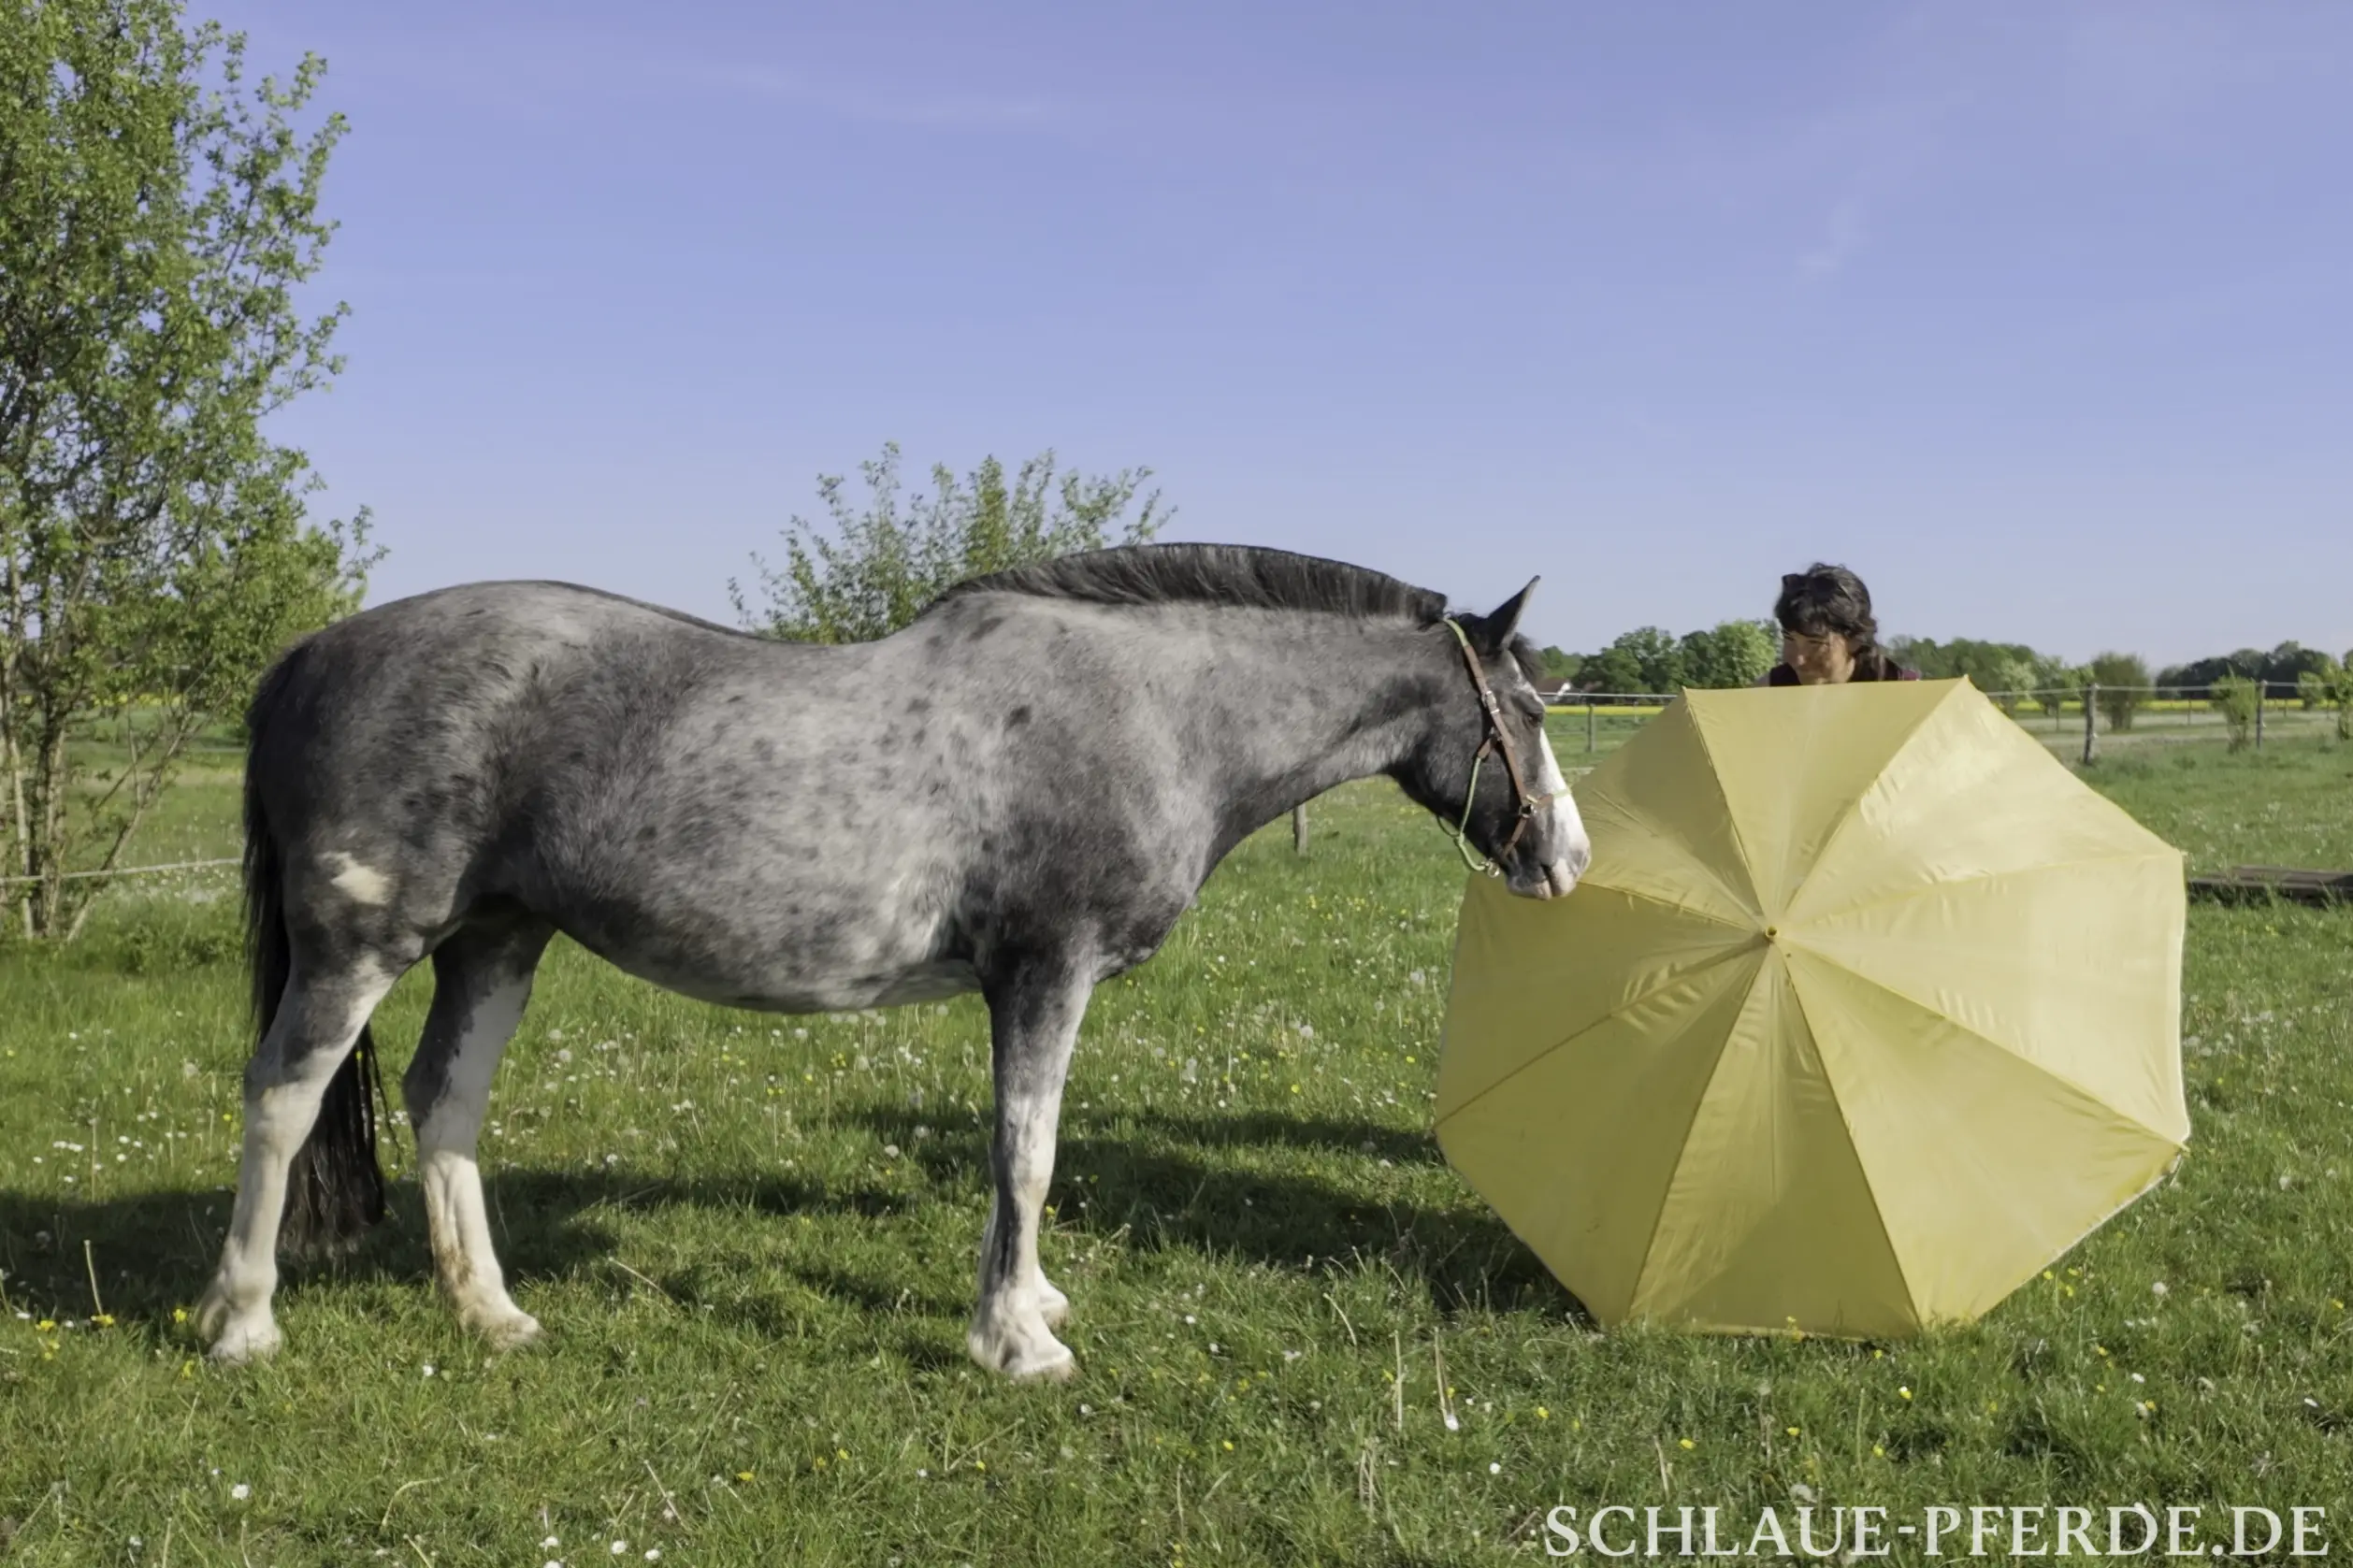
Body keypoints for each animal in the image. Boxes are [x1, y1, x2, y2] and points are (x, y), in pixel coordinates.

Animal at [193, 543, 1591, 1381]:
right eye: (1524, 710)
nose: (1566, 859)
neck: (1150, 712)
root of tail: (309, 655)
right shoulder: (1043, 971)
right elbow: (1026, 1150)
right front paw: (1015, 1339)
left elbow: (1027, 1156)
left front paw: (1033, 1302)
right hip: (363, 946)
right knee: (281, 1099)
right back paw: (241, 1320)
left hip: (495, 940)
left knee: (445, 1104)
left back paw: (490, 1313)